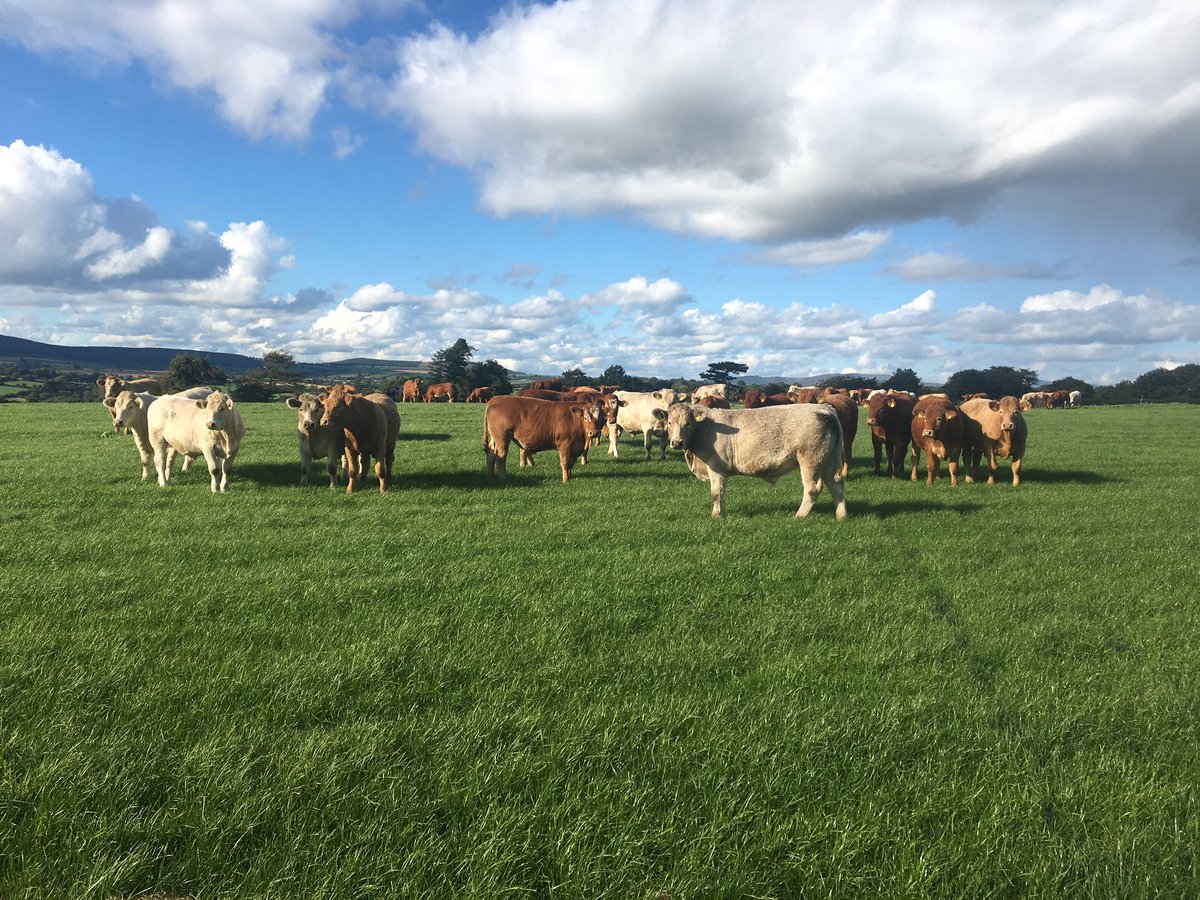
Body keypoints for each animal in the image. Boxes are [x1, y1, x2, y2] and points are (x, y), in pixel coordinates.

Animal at [655, 402, 846, 520]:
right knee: (837, 487)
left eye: (687, 423)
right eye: (669, 423)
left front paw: (717, 515)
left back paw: (799, 515)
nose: (676, 442)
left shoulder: (716, 467)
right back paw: (841, 516)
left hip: (810, 460)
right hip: (828, 462)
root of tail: (824, 408)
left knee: (812, 489)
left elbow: (717, 493)